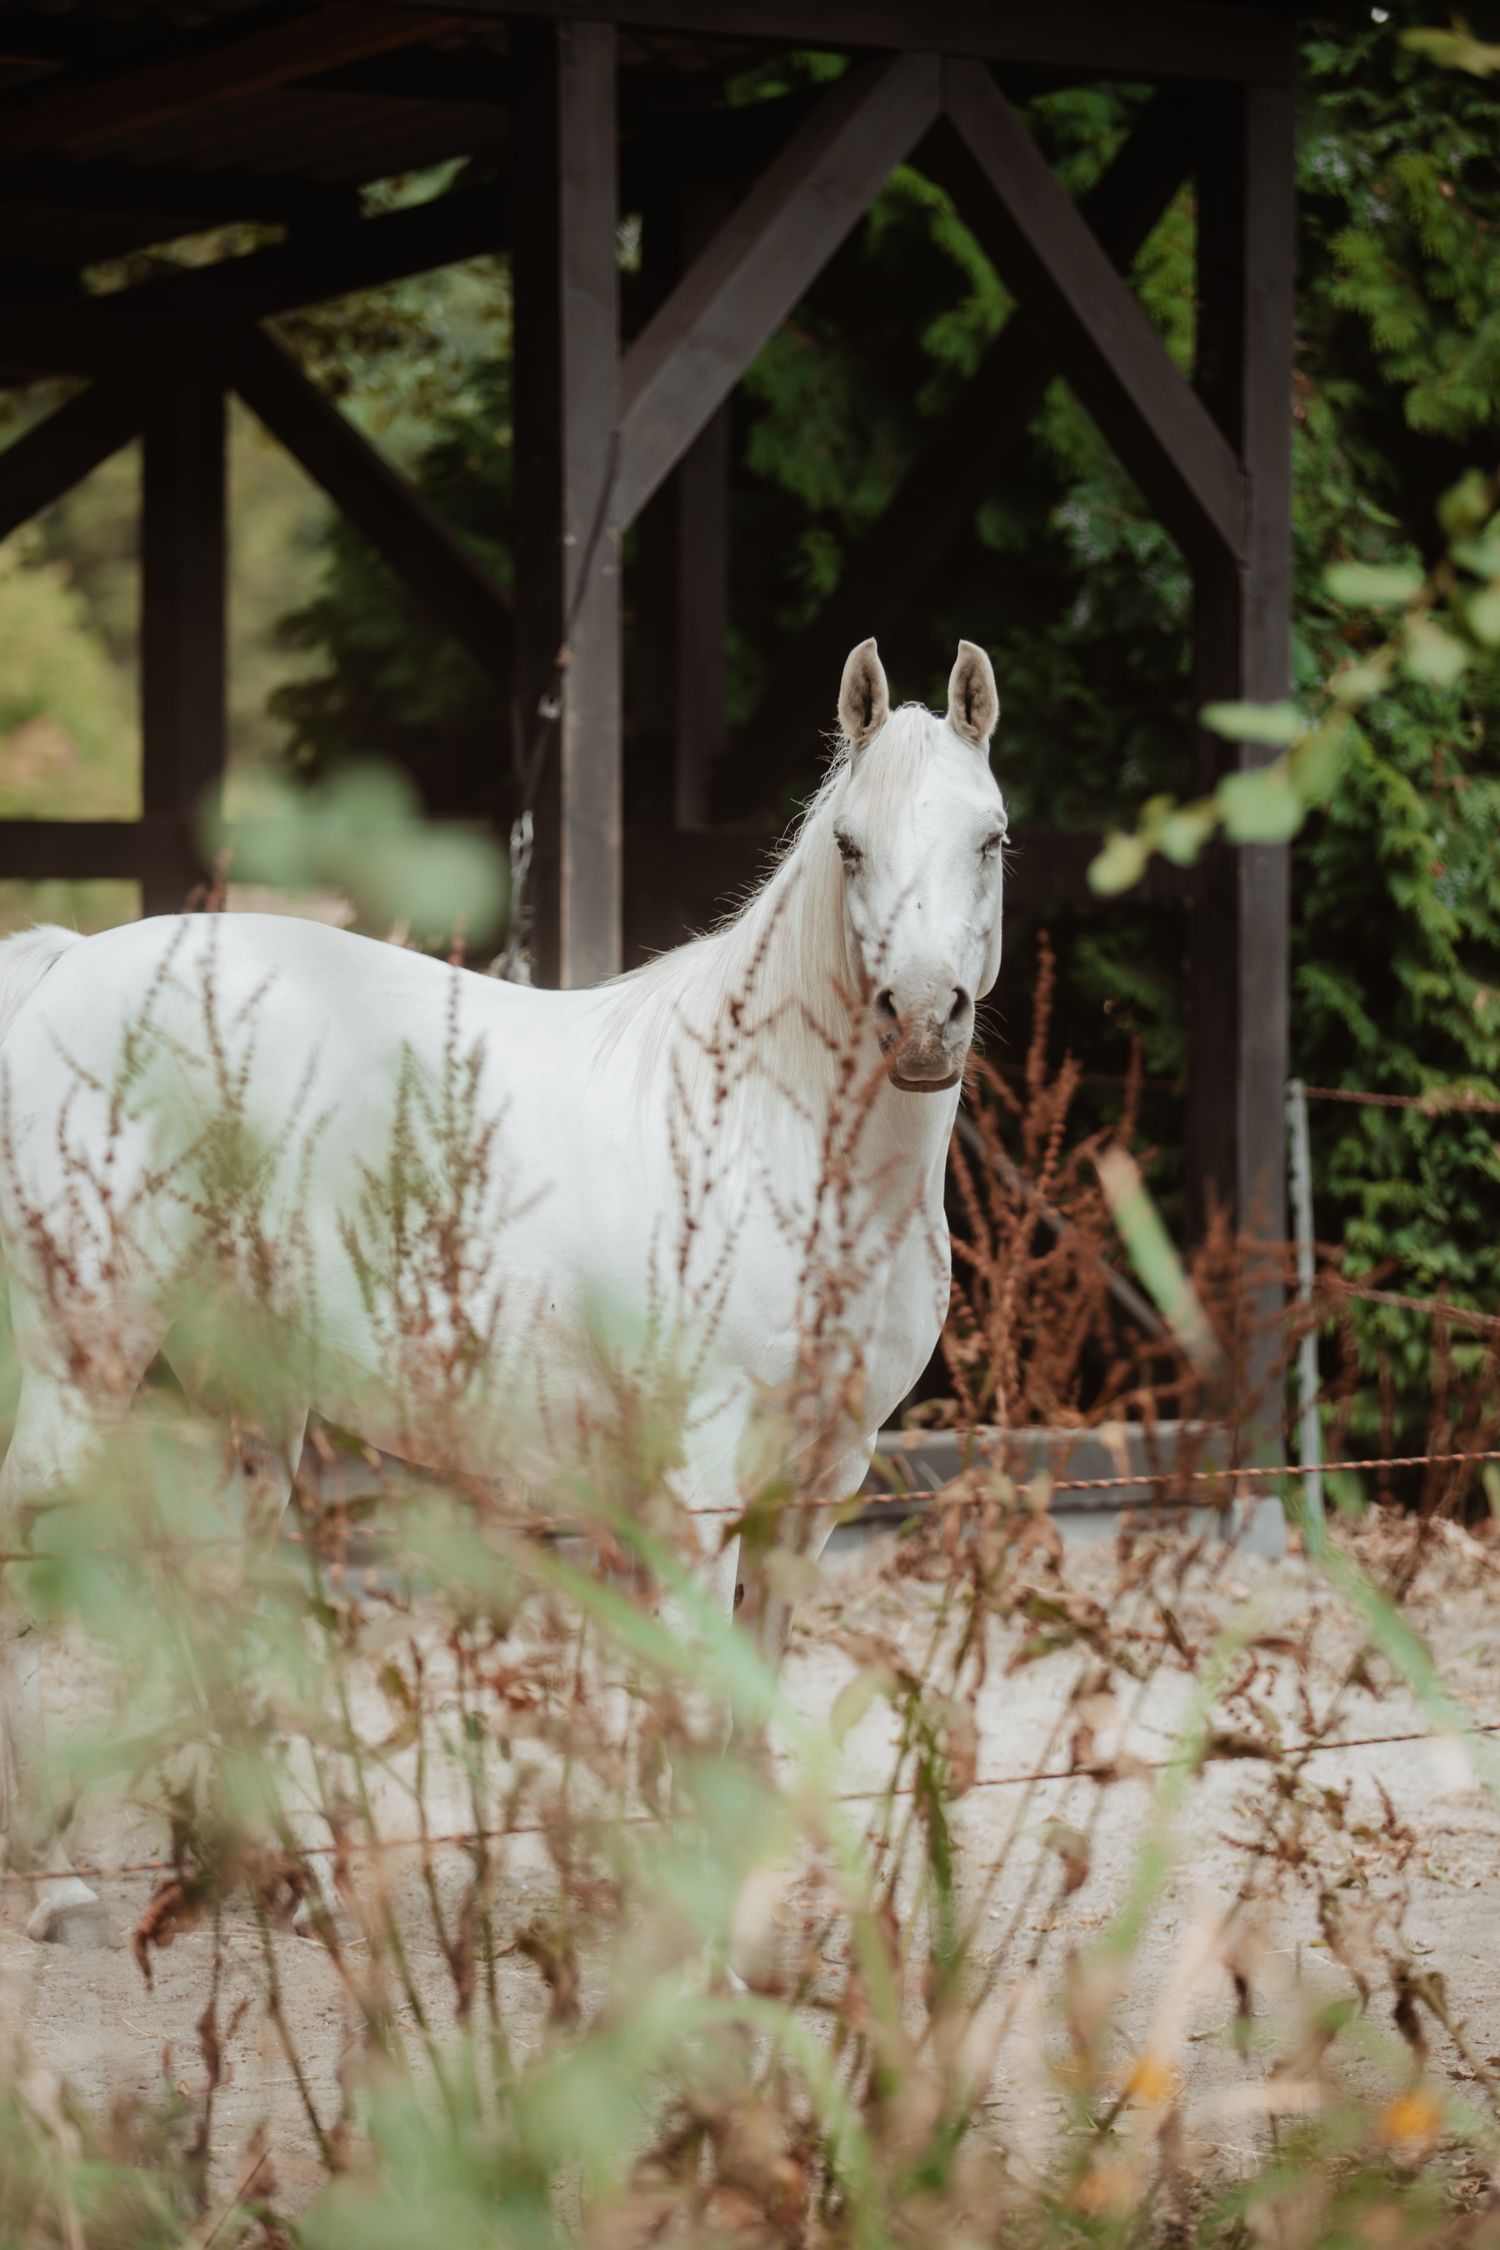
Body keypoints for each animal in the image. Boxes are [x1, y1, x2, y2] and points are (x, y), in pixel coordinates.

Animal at [0, 636, 1006, 1944]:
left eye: (990, 839)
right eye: (849, 846)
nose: (924, 1018)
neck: (768, 1140)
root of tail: (67, 965)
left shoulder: (812, 1491)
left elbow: (740, 1708)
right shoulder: (699, 1491)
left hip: (243, 1402)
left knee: (207, 1585)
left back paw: (285, 1882)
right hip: (86, 1363)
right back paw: (59, 1887)